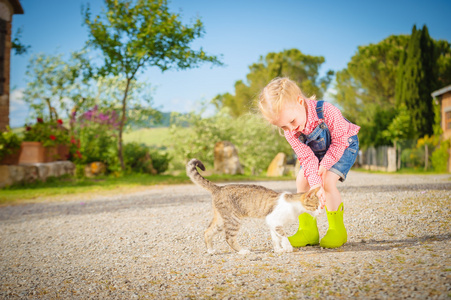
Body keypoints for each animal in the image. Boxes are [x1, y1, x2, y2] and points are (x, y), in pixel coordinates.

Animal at [185, 158, 324, 254]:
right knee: (229, 238)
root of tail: (219, 188)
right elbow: (283, 235)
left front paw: (278, 249)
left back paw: (210, 250)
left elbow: (275, 238)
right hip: (233, 220)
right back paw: (242, 251)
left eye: (320, 206)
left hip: (221, 219)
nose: (320, 212)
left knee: (208, 231)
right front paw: (287, 247)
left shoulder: (273, 223)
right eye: (316, 206)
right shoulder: (274, 220)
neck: (294, 207)